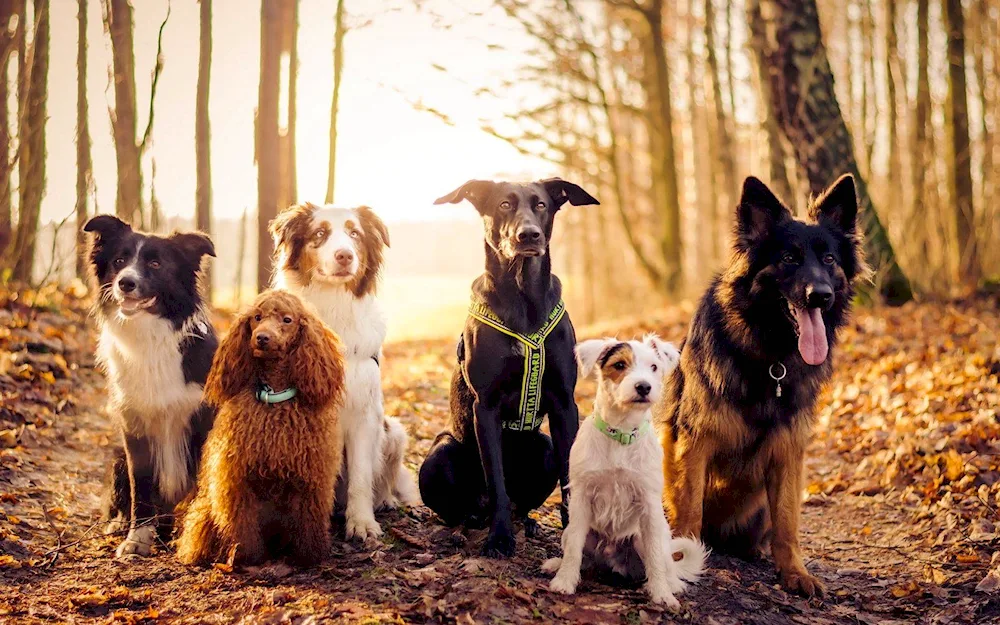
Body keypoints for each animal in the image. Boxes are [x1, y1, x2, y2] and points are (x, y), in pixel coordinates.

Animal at [418, 176, 596, 556]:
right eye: (504, 205)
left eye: (541, 204)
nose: (529, 235)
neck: (522, 294)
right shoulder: (485, 407)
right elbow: (496, 481)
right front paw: (499, 539)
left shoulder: (564, 403)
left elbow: (569, 478)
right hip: (441, 452)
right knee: (465, 507)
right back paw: (469, 524)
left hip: (543, 446)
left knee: (521, 503)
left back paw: (526, 522)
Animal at [660, 172, 864, 596]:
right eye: (789, 258)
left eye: (829, 259)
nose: (821, 296)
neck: (771, 356)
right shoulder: (695, 440)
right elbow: (689, 507)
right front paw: (682, 560)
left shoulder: (788, 449)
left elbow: (787, 522)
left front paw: (795, 572)